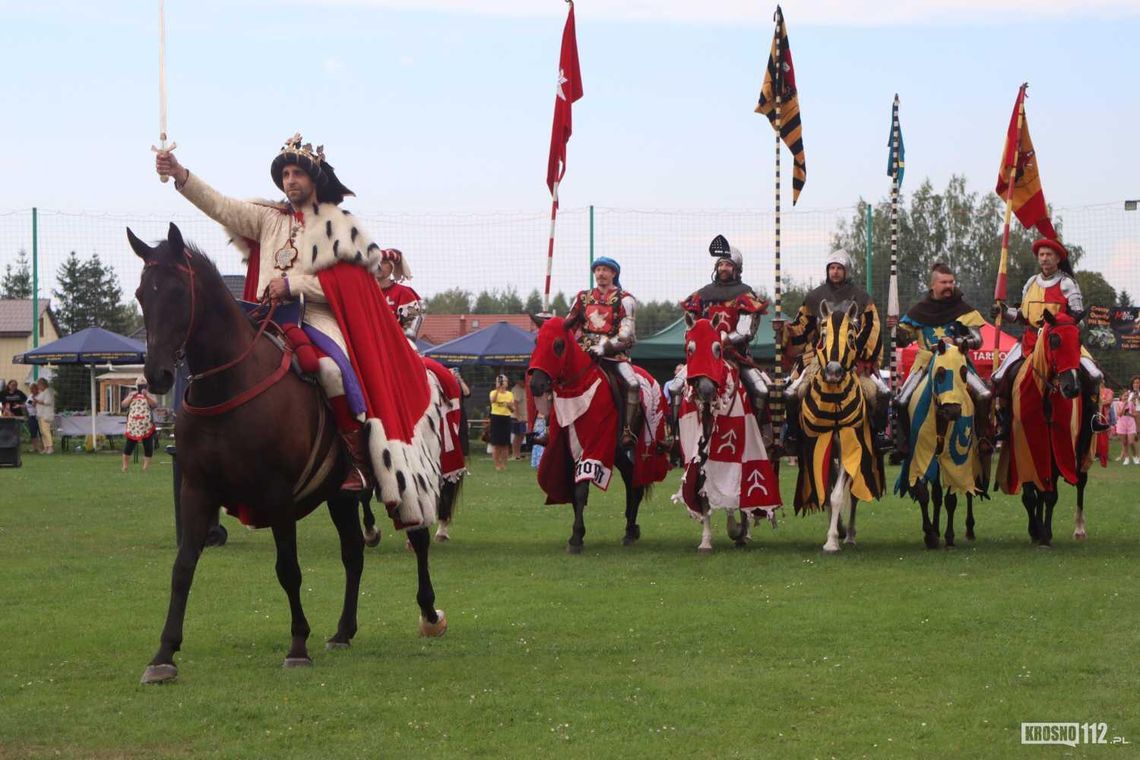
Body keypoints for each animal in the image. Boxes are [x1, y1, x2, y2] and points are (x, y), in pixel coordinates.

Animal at [131, 224, 451, 683]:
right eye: (142, 293)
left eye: (177, 291)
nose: (156, 376)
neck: (230, 382)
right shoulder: (196, 491)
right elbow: (183, 567)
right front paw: (163, 656)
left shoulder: (278, 494)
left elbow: (288, 569)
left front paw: (298, 645)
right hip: (340, 495)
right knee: (353, 553)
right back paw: (343, 631)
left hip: (403, 475)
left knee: (418, 536)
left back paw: (429, 614)